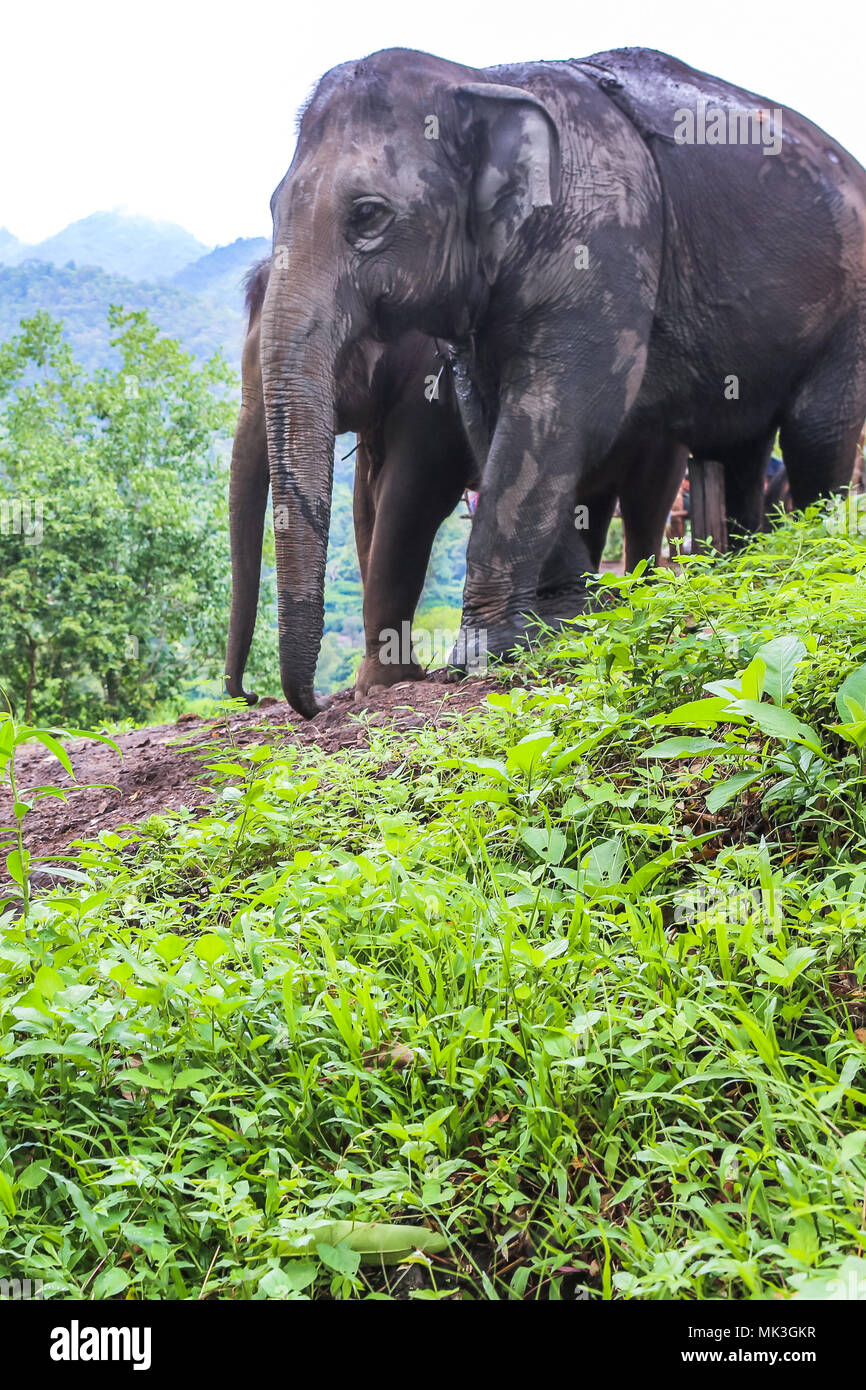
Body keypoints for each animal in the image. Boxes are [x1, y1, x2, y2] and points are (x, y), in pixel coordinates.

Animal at [239, 44, 866, 717]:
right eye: (272, 207)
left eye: (367, 214)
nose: (304, 706)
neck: (480, 79)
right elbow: (487, 417)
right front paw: (567, 614)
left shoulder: (604, 243)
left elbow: (559, 411)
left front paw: (483, 654)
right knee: (741, 448)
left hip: (850, 306)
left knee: (814, 431)